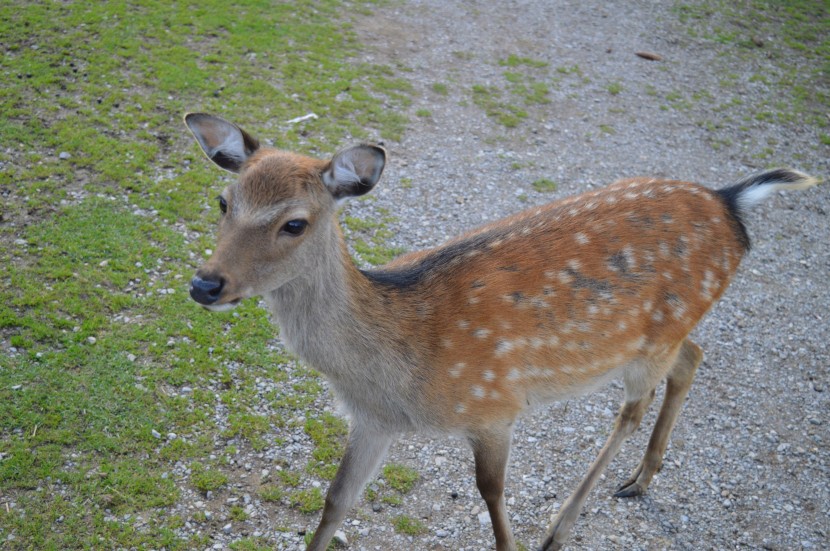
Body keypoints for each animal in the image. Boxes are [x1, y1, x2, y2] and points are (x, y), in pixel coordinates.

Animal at [184, 113, 820, 551]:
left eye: (295, 223)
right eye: (223, 200)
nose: (206, 284)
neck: (397, 362)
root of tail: (731, 202)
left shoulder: (493, 404)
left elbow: (491, 495)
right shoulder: (373, 420)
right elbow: (337, 502)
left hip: (652, 341)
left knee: (633, 408)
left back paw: (562, 528)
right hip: (669, 333)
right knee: (694, 355)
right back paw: (642, 478)